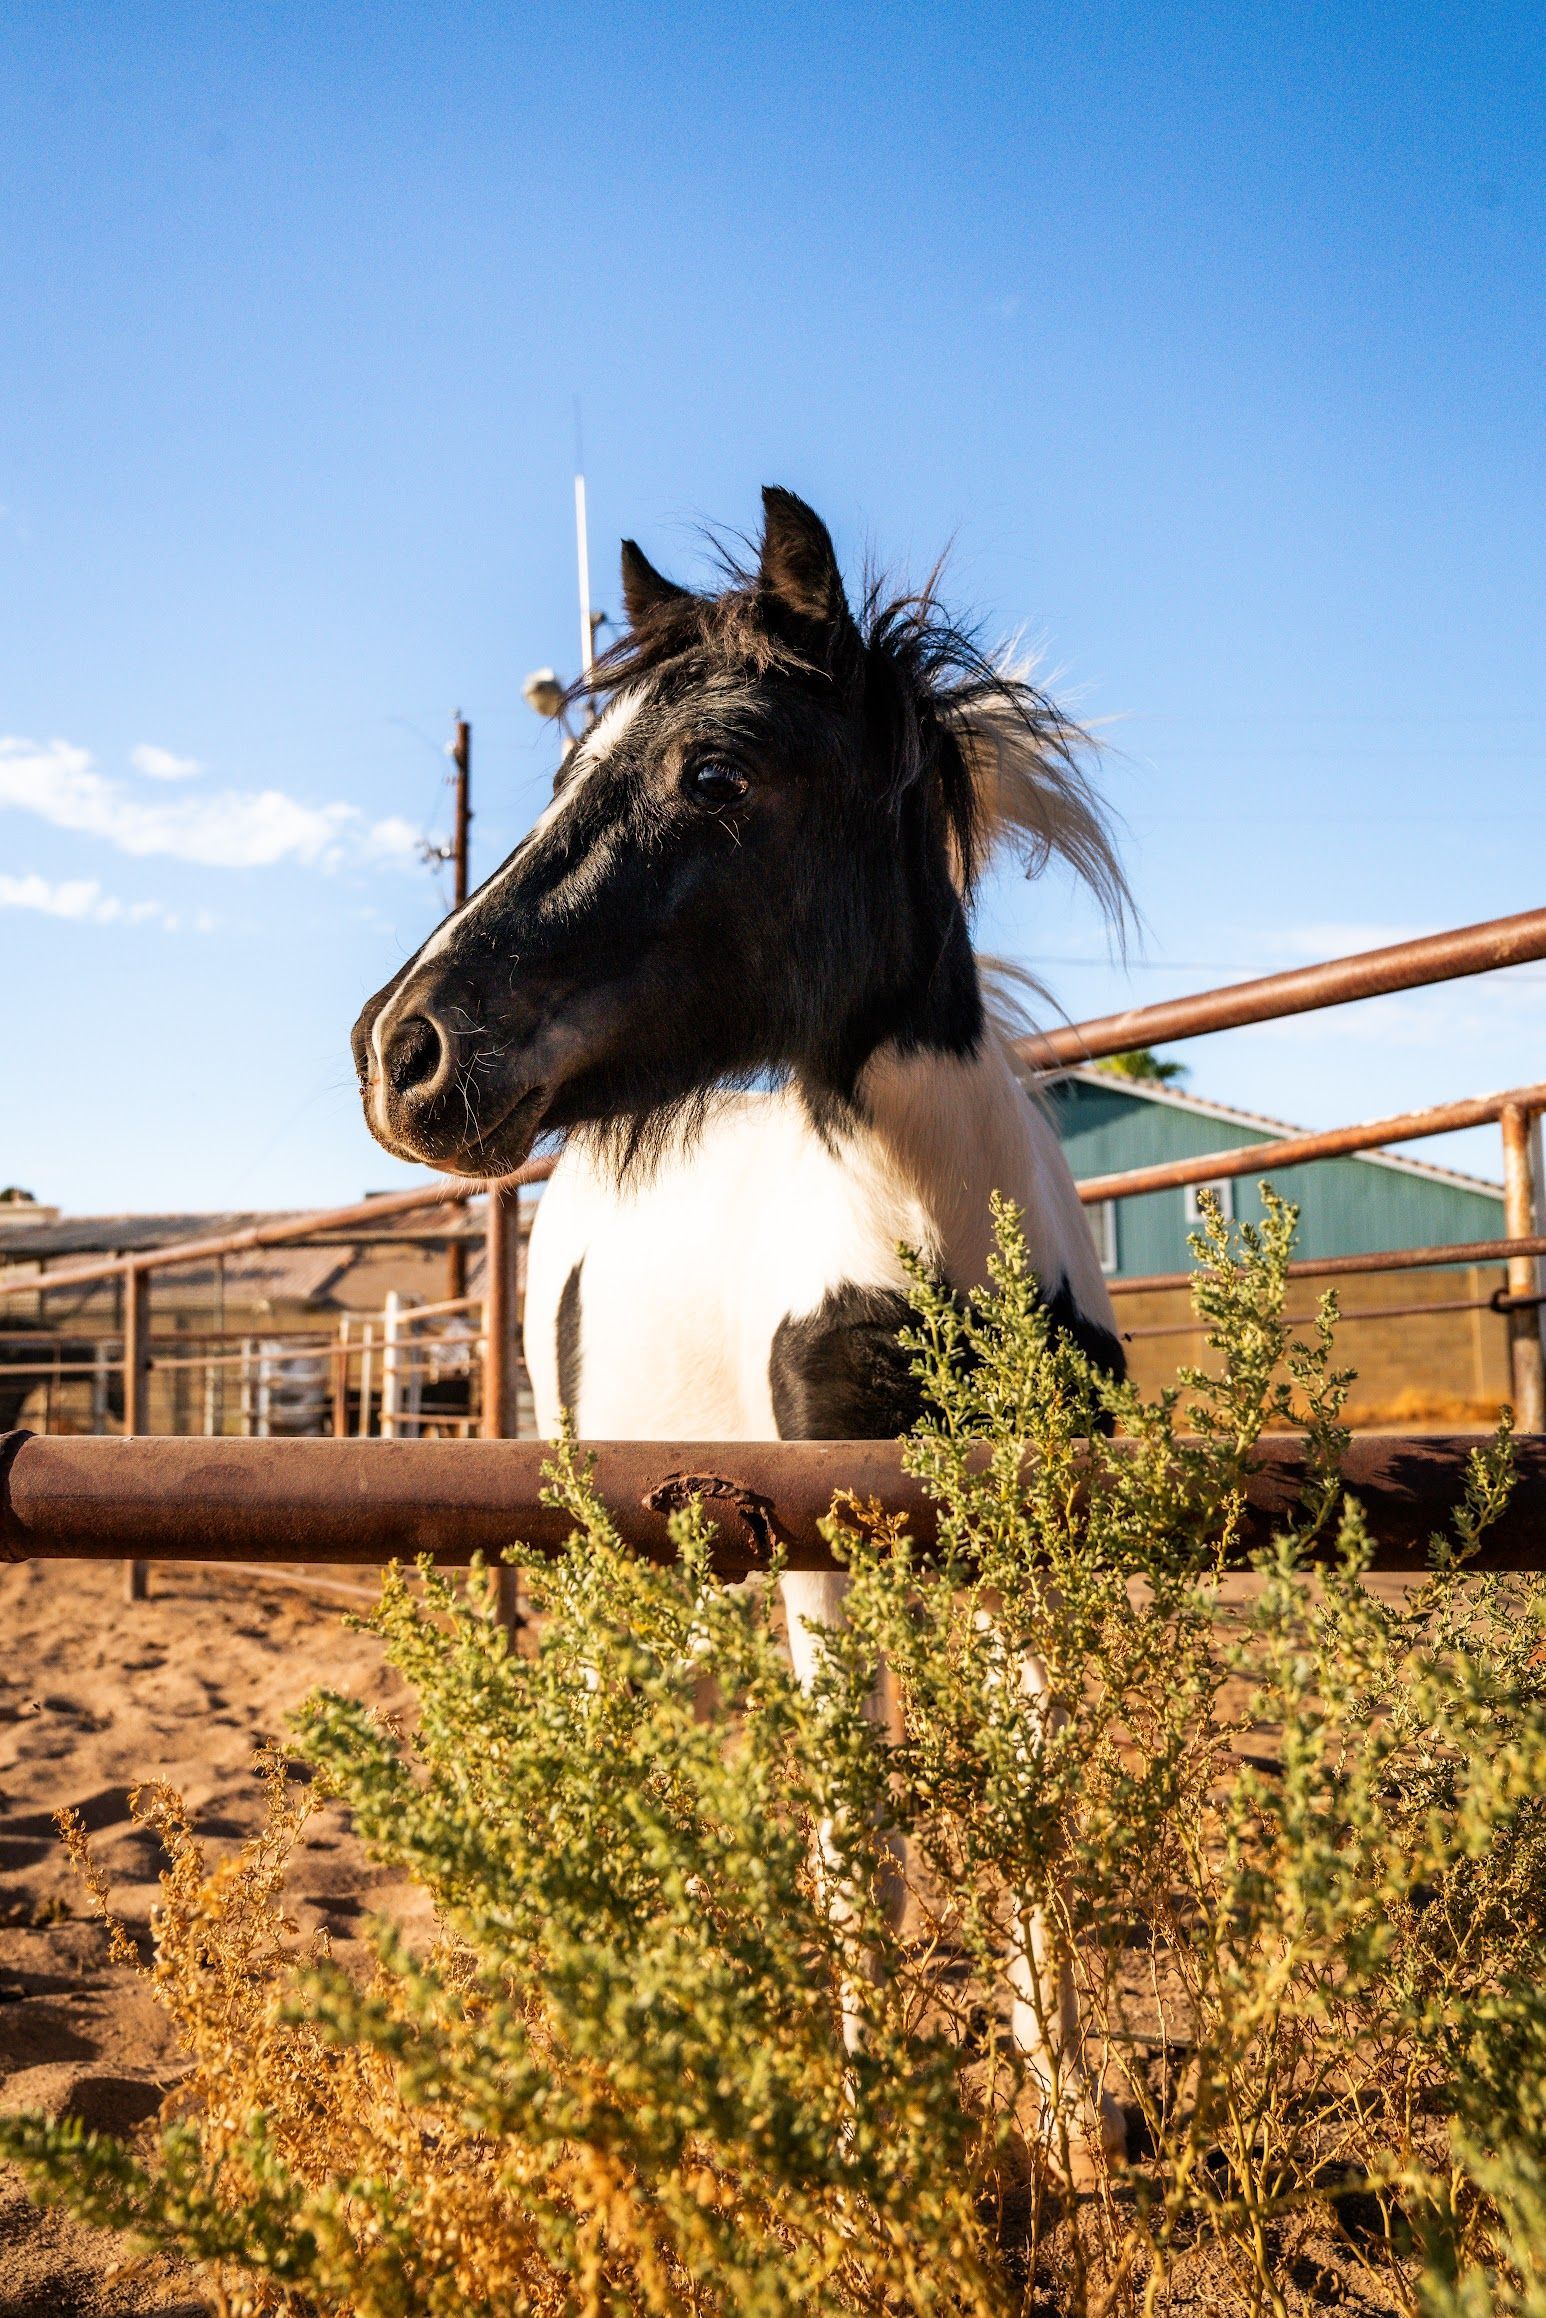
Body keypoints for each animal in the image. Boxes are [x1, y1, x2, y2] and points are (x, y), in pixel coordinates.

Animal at [353, 486, 1129, 2173]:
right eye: (562, 771)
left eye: (714, 773)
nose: (402, 1050)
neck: (936, 1260)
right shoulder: (825, 1541)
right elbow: (863, 1847)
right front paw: (864, 2131)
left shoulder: (1033, 1539)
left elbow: (1033, 1816)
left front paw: (1071, 2117)